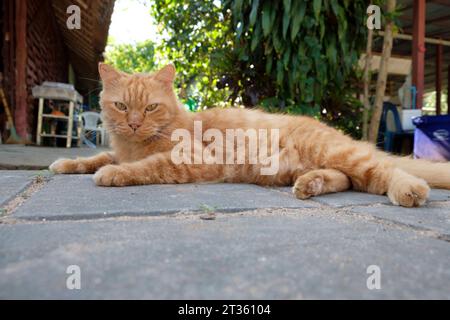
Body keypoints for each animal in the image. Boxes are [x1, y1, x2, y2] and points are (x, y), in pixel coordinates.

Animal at [49, 63, 450, 208]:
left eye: (149, 108)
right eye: (121, 106)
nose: (133, 123)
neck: (134, 143)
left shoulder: (194, 160)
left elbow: (146, 167)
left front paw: (114, 174)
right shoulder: (118, 148)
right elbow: (96, 156)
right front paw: (66, 163)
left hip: (341, 154)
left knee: (385, 173)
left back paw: (410, 190)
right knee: (347, 180)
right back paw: (311, 184)